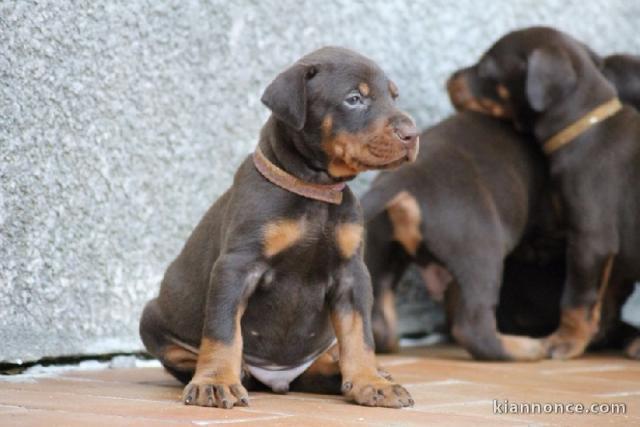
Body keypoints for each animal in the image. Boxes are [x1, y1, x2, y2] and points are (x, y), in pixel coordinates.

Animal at [139, 45, 418, 410]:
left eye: (394, 97)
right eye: (354, 99)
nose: (412, 134)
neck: (314, 189)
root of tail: (277, 379)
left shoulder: (352, 273)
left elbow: (360, 335)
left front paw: (369, 381)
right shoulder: (237, 266)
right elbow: (222, 330)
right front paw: (215, 381)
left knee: (321, 366)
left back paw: (351, 371)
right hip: (151, 317)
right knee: (185, 354)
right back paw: (235, 372)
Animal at [448, 25, 640, 362]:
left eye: (485, 69)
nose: (450, 77)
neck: (585, 128)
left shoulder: (590, 239)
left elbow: (576, 299)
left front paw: (565, 342)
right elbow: (603, 294)